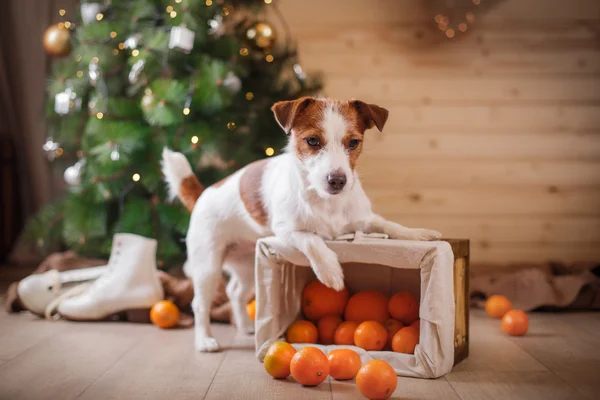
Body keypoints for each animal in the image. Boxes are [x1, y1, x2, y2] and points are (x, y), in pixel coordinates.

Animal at [162, 96, 442, 350]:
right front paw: (330, 271)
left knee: (235, 292)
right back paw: (205, 340)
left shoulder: (364, 220)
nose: (337, 180)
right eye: (312, 141)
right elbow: (312, 240)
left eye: (353, 142)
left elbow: (389, 225)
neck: (327, 202)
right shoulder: (287, 230)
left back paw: (246, 326)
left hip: (246, 264)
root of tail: (203, 193)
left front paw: (418, 233)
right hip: (207, 264)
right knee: (200, 303)